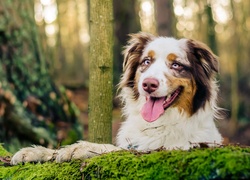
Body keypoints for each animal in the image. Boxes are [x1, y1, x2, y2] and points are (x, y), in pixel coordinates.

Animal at [10, 32, 223, 165]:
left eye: (176, 65)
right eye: (146, 61)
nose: (148, 84)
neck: (158, 123)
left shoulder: (170, 147)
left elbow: (114, 149)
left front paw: (79, 148)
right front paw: (35, 152)